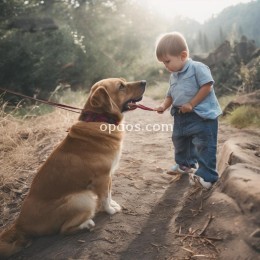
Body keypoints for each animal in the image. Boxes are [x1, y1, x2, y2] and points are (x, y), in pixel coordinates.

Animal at [0, 77, 146, 258]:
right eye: (121, 86)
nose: (144, 82)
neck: (99, 119)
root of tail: (19, 223)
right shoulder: (102, 178)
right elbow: (105, 198)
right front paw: (110, 210)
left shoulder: (108, 176)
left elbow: (109, 194)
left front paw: (112, 205)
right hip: (83, 198)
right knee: (64, 230)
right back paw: (87, 224)